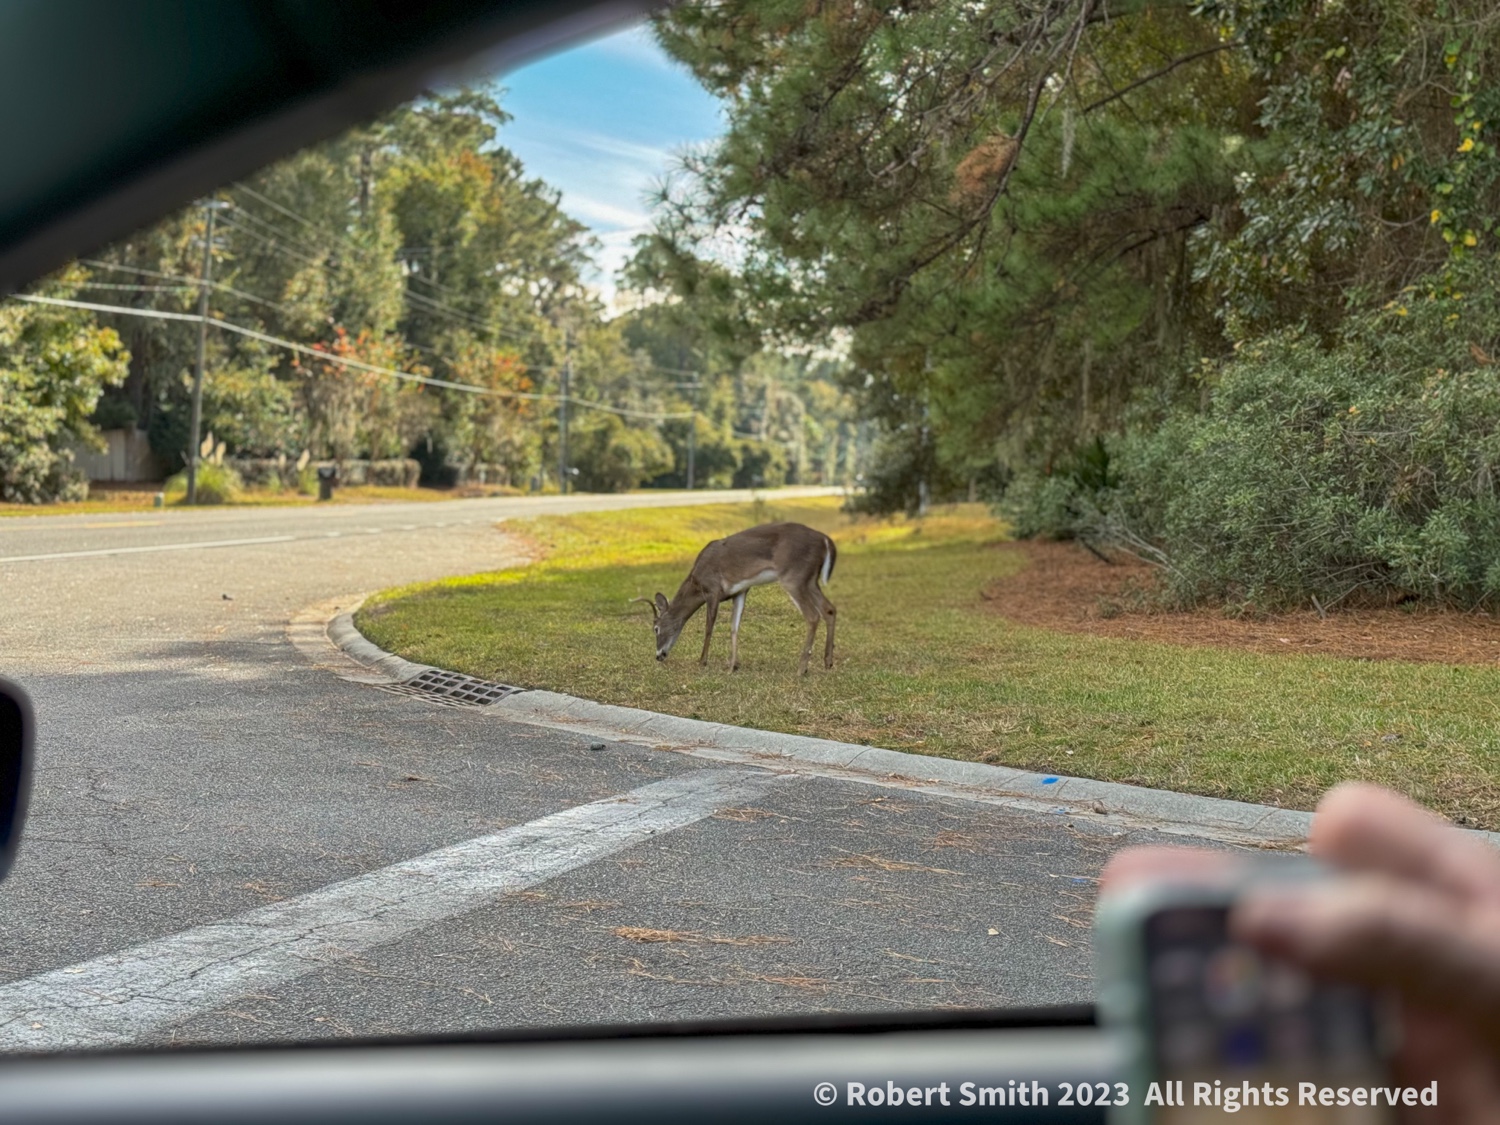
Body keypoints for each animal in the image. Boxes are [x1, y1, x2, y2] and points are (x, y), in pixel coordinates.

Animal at [642, 522, 837, 676]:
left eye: (656, 628)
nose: (658, 656)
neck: (696, 581)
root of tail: (825, 540)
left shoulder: (713, 590)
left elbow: (709, 627)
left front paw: (702, 661)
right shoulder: (740, 591)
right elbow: (734, 627)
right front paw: (732, 666)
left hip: (793, 576)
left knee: (812, 615)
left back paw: (801, 669)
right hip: (810, 580)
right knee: (829, 609)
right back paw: (828, 662)